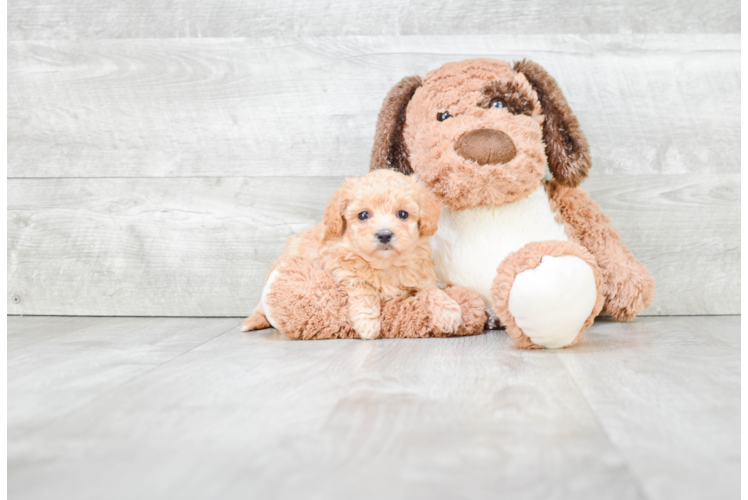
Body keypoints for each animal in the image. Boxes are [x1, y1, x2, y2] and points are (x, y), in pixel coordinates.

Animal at [241, 169, 462, 340]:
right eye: (363, 215)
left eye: (403, 214)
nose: (384, 234)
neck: (385, 265)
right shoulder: (343, 269)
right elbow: (364, 289)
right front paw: (368, 324)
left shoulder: (422, 277)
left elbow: (432, 292)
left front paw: (448, 312)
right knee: (261, 308)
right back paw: (251, 322)